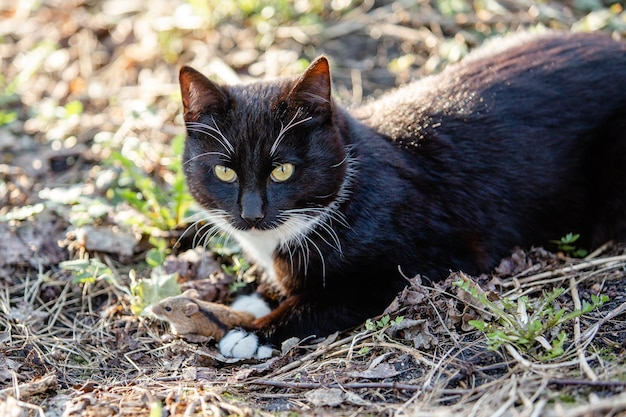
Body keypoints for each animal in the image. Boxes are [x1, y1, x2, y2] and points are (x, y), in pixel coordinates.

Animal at [177, 30, 624, 352]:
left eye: (282, 170)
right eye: (225, 172)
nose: (251, 213)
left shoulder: (429, 258)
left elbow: (329, 298)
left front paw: (256, 332)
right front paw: (257, 298)